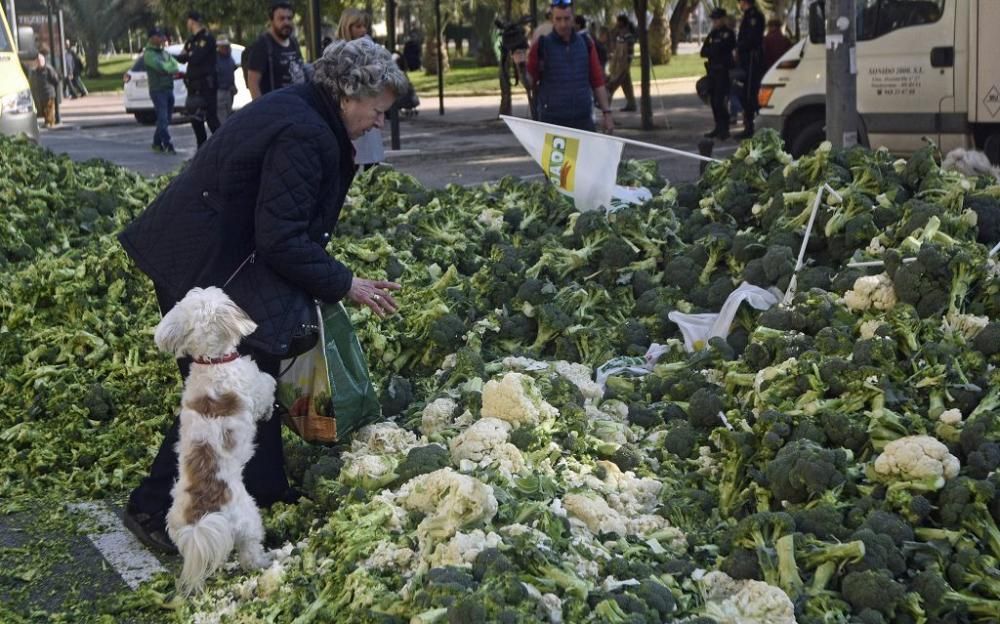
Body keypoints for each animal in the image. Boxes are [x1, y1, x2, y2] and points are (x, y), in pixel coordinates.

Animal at [152, 288, 278, 596]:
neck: (212, 362)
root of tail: (202, 517)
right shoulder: (256, 385)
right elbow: (267, 384)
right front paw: (270, 408)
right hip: (248, 517)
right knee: (250, 551)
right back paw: (266, 560)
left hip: (183, 526)